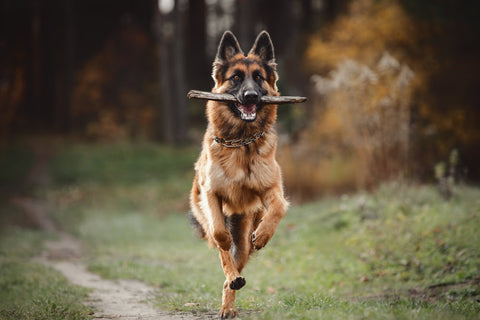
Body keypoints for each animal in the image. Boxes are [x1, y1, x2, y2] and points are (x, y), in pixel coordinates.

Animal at [188, 29, 288, 318]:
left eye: (259, 77)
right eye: (236, 78)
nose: (252, 96)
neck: (241, 142)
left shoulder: (271, 190)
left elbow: (279, 207)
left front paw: (264, 234)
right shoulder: (211, 193)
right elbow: (221, 236)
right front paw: (226, 256)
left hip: (245, 234)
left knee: (240, 253)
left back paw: (230, 298)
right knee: (226, 253)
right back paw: (231, 282)